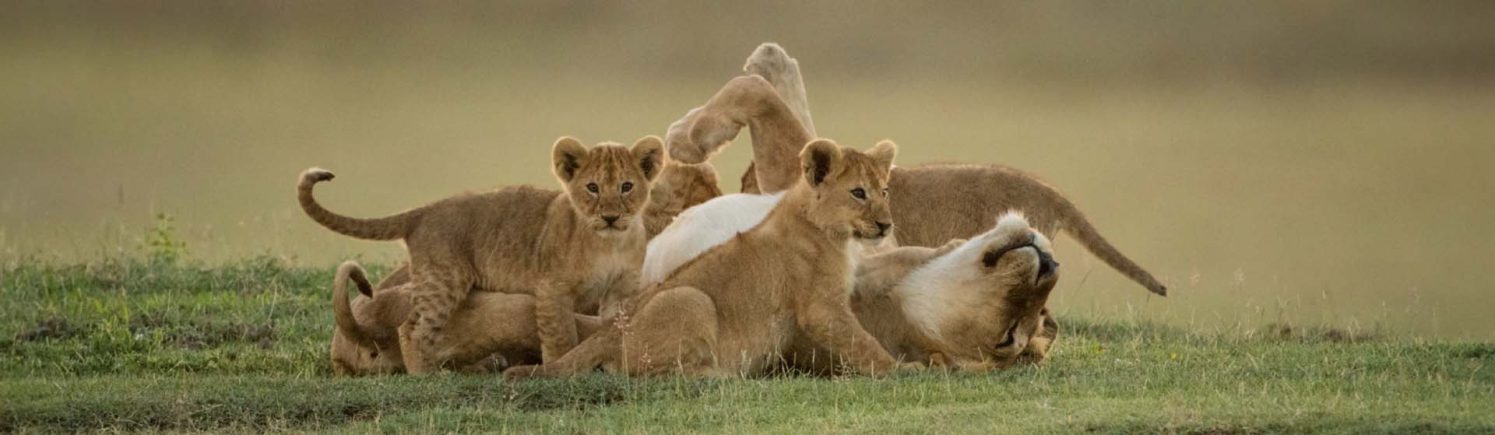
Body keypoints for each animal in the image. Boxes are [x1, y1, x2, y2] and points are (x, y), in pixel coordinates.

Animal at [506, 138, 907, 378]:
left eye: (884, 191)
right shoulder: (821, 307)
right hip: (689, 297)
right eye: (858, 193)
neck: (830, 231)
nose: (886, 224)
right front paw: (902, 368)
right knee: (648, 374)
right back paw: (720, 374)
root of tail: (607, 333)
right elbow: (860, 340)